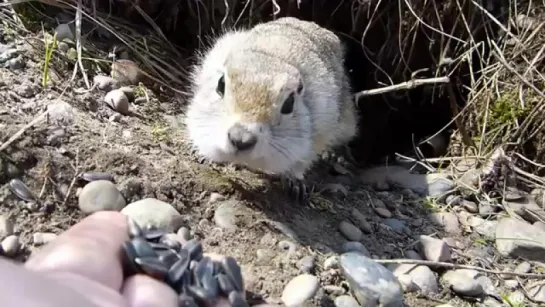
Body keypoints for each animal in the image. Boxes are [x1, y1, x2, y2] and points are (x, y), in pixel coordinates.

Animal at [185, 17, 360, 205]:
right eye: (221, 84)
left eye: (289, 103)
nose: (241, 139)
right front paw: (202, 154)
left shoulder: (320, 130)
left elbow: (302, 161)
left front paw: (295, 183)